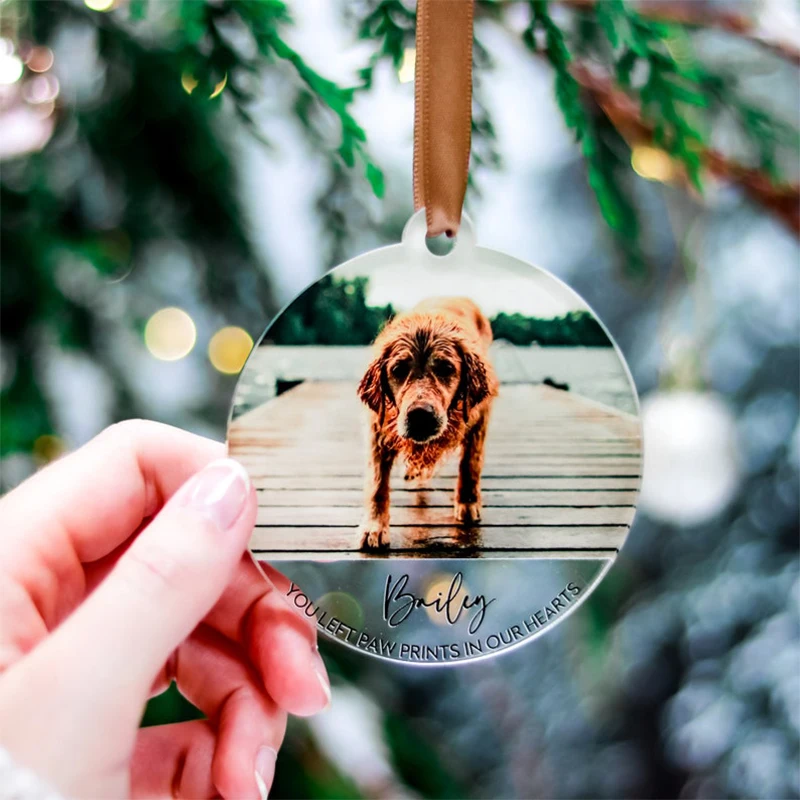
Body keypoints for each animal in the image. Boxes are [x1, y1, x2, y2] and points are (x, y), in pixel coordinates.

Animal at [358, 296, 496, 552]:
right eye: (398, 369)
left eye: (446, 368)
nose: (420, 415)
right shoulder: (379, 427)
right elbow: (377, 484)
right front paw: (374, 527)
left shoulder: (479, 416)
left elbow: (470, 464)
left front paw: (467, 502)